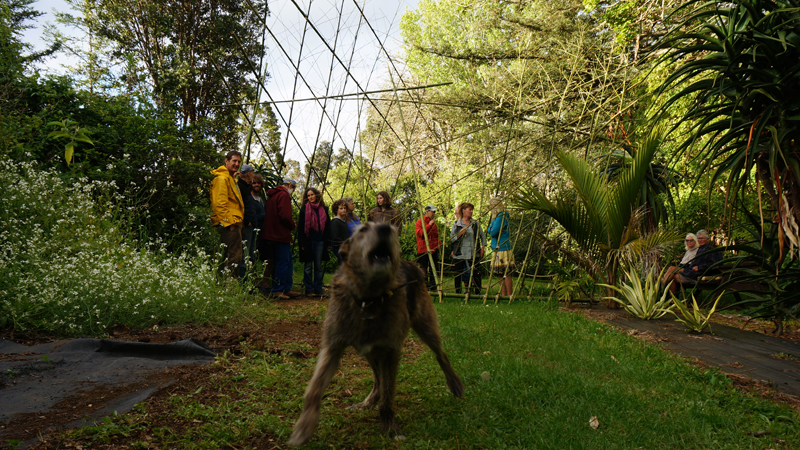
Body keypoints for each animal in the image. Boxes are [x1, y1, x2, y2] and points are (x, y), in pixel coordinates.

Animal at [288, 222, 462, 446]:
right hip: (369, 353)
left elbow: (388, 395)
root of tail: (412, 264)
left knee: (440, 354)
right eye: (363, 229)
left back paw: (455, 384)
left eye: (393, 230)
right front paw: (304, 427)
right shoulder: (332, 348)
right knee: (378, 380)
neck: (367, 299)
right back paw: (367, 402)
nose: (385, 228)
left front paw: (390, 428)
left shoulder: (390, 352)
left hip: (425, 326)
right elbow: (314, 389)